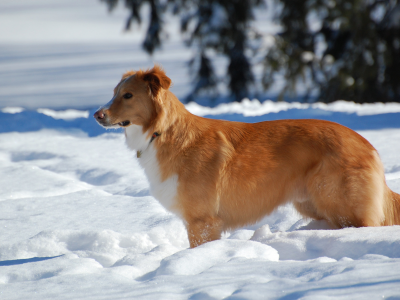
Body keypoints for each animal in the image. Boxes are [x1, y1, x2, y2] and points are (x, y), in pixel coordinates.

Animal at [95, 64, 400, 247]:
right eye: (114, 93)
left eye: (128, 96)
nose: (97, 115)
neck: (162, 132)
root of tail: (367, 144)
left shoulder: (202, 221)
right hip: (314, 204)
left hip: (341, 205)